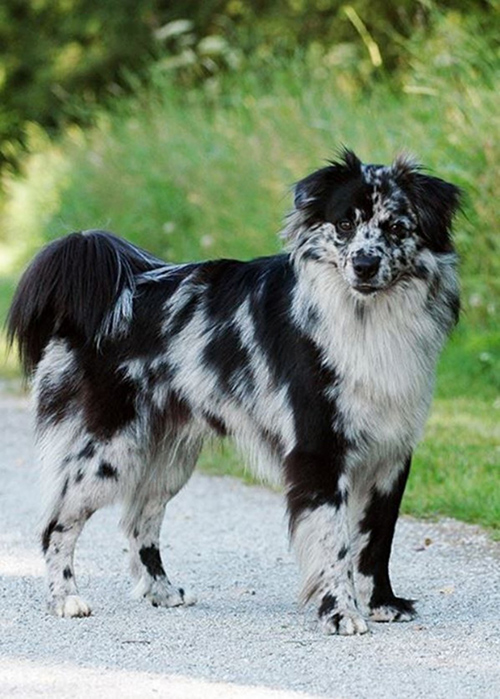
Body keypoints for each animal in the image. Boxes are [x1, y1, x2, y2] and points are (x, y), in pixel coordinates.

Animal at [7, 152, 460, 636]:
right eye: (344, 224)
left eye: (397, 226)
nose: (365, 264)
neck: (366, 320)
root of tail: (113, 293)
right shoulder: (318, 451)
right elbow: (334, 543)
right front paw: (340, 611)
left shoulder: (390, 454)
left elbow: (376, 541)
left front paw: (381, 603)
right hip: (107, 453)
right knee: (56, 524)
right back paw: (65, 598)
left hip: (168, 460)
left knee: (138, 523)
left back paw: (161, 591)